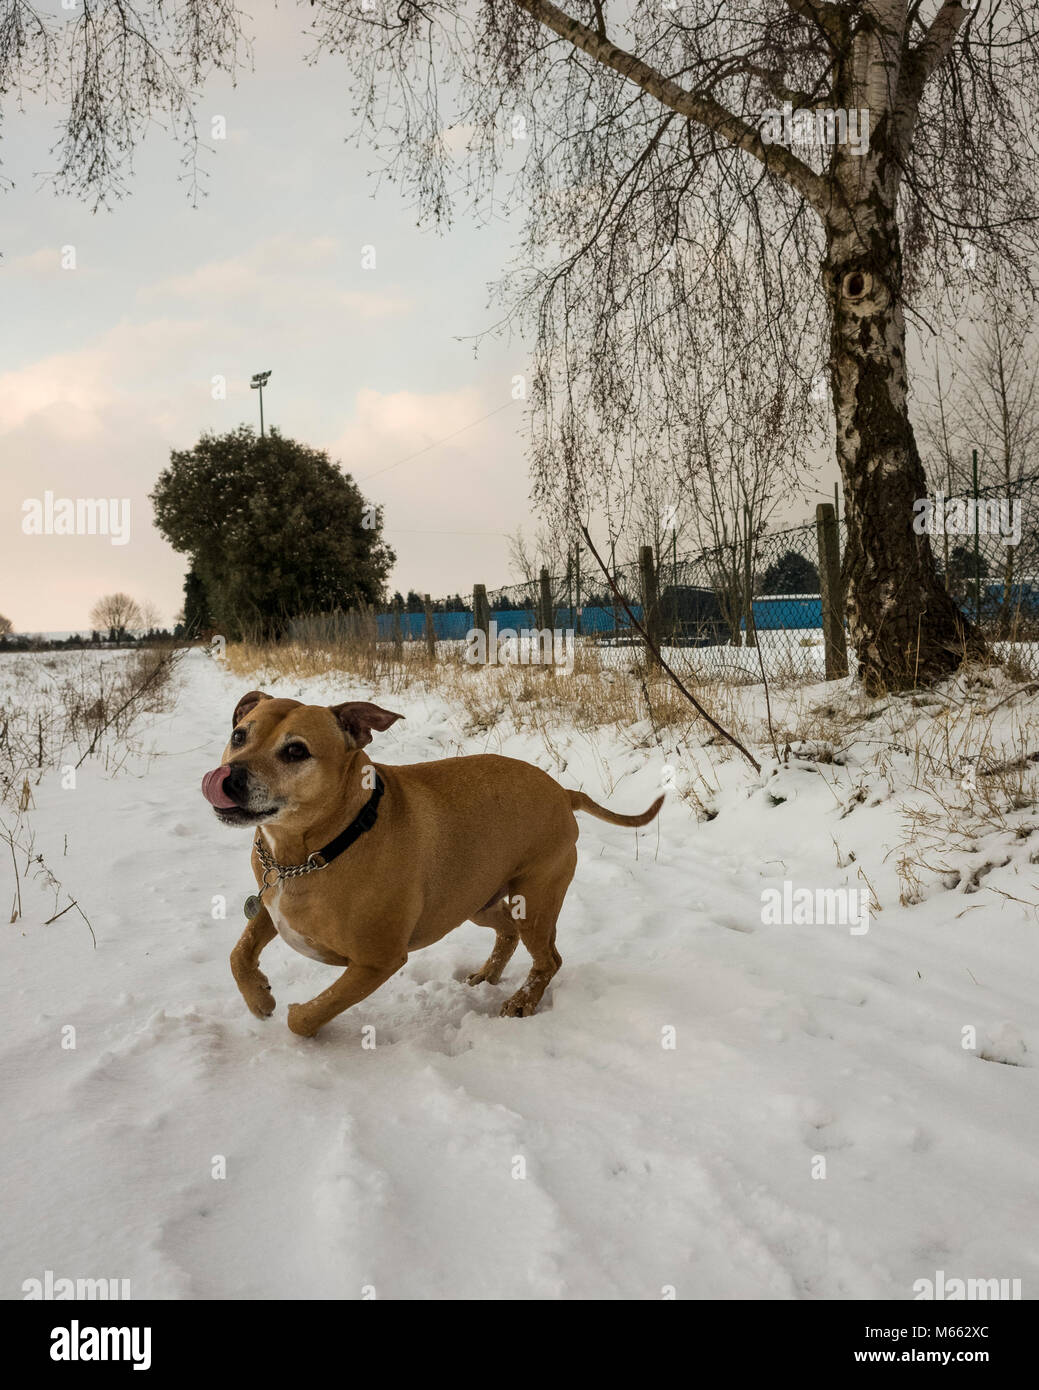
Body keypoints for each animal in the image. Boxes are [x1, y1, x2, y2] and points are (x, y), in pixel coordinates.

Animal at [203, 692, 667, 1034]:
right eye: (239, 735)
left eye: (296, 751)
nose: (229, 778)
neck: (317, 848)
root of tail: (563, 791)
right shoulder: (270, 902)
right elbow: (239, 953)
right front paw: (259, 996)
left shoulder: (378, 961)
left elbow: (309, 1015)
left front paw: (291, 1013)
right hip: (473, 898)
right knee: (506, 932)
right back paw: (487, 975)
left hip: (535, 898)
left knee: (548, 960)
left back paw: (521, 1003)